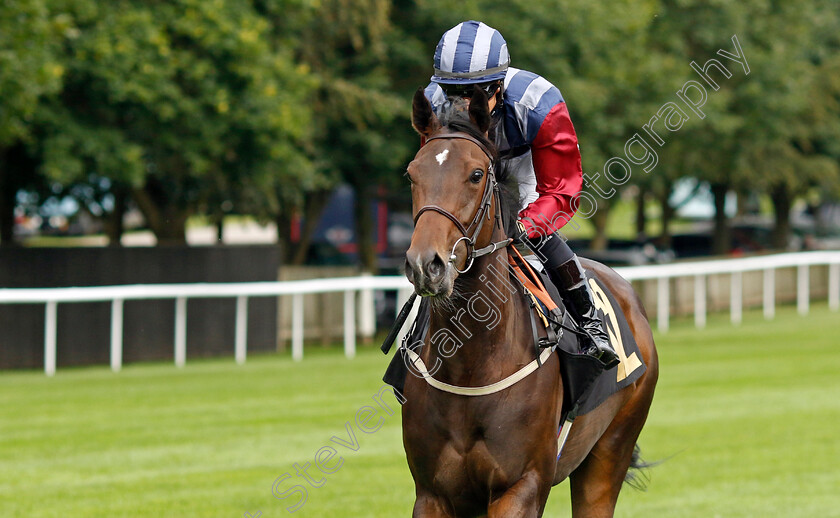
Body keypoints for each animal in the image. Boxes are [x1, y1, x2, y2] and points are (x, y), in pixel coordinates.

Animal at [398, 86, 660, 518]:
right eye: (411, 174)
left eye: (476, 174)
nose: (426, 264)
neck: (471, 367)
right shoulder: (433, 493)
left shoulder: (522, 485)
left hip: (611, 448)